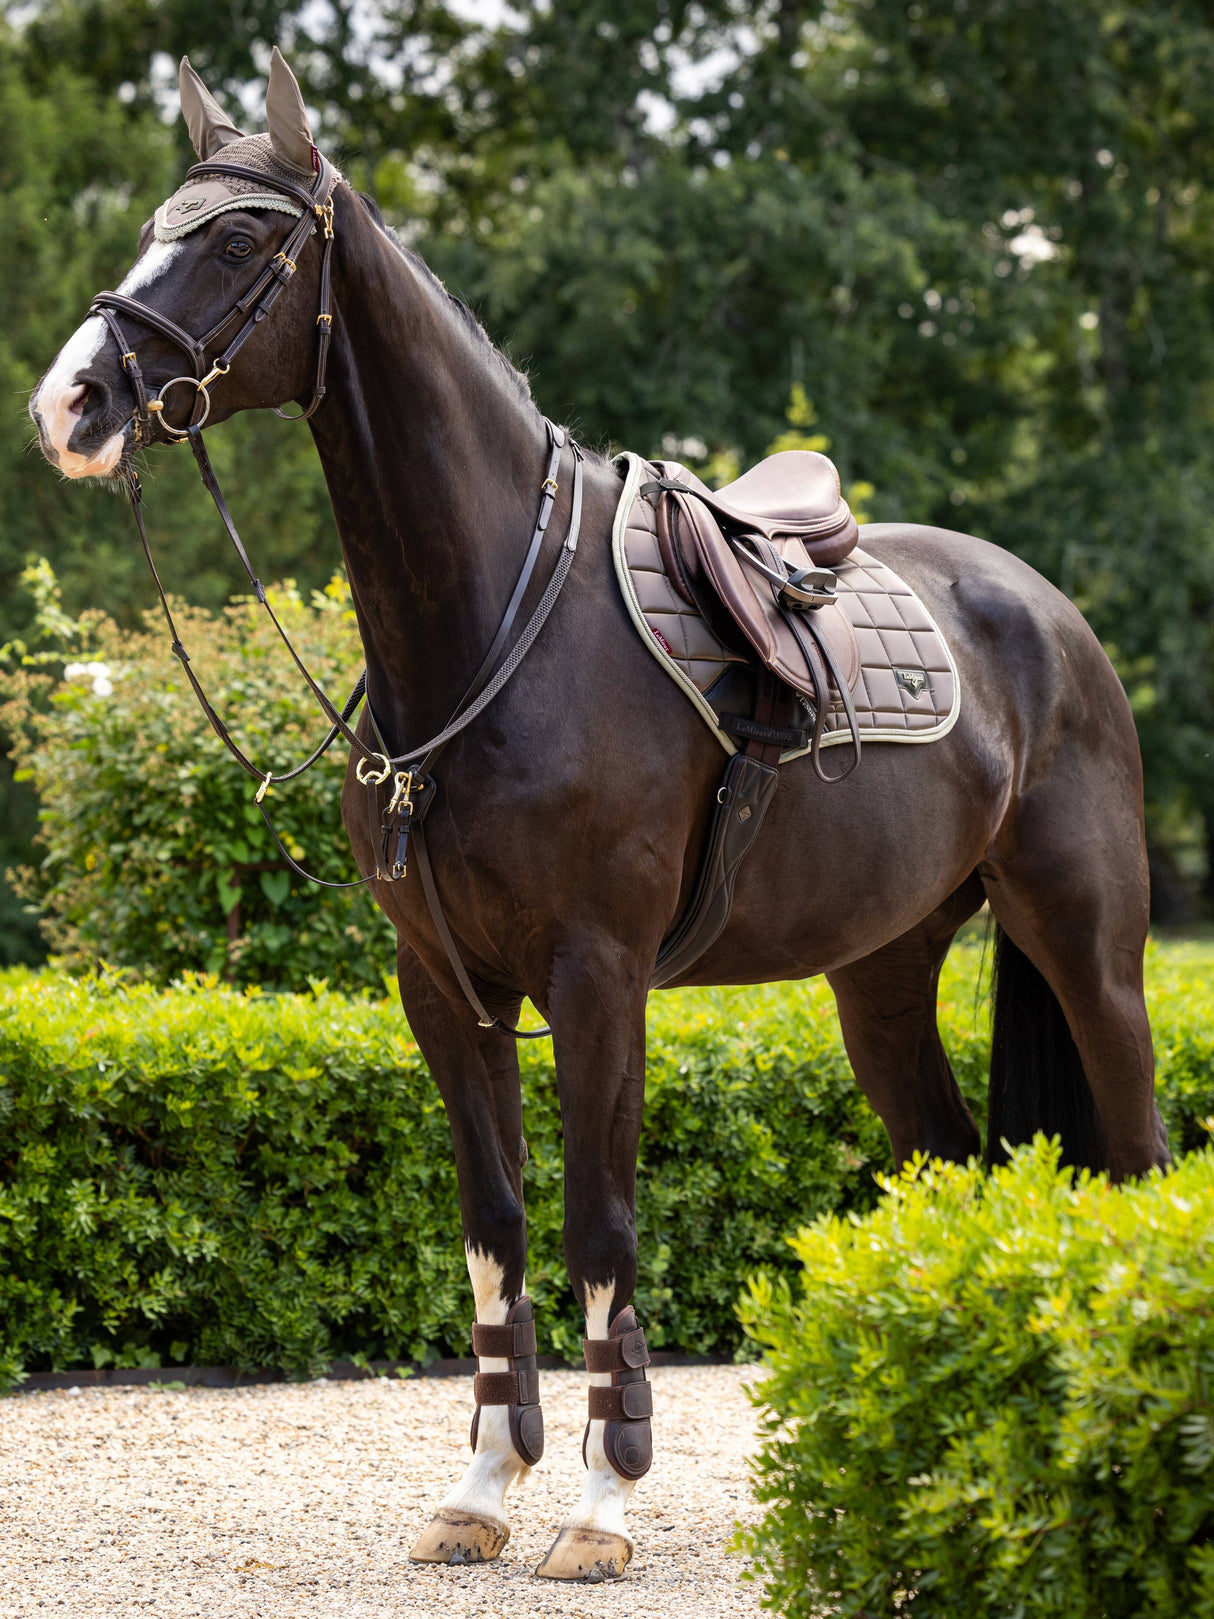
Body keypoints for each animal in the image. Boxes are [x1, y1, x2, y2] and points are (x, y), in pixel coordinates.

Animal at [26, 47, 1171, 1580]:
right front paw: (479, 1487)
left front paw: (599, 1500)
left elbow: (599, 1221)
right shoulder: (440, 985)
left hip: (1088, 946)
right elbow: (495, 1223)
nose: (73, 402)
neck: (493, 623)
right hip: (881, 977)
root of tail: (1046, 611)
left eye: (241, 239)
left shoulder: (597, 973)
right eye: (160, 222)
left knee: (1141, 1154)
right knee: (949, 1167)